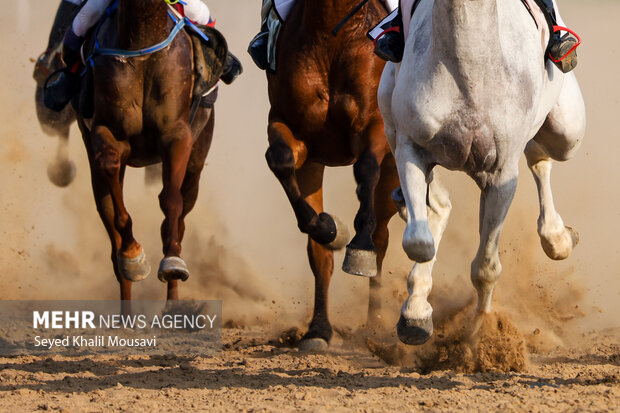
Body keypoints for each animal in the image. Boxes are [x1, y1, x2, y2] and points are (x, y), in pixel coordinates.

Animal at [73, 0, 223, 308]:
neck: (142, 40)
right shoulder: (107, 131)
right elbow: (110, 169)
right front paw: (133, 256)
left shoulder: (177, 134)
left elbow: (171, 201)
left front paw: (173, 261)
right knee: (110, 227)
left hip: (198, 155)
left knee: (182, 212)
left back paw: (172, 303)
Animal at [264, 0, 400, 350]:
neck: (332, 35)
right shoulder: (297, 135)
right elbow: (280, 160)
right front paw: (330, 228)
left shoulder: (375, 126)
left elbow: (365, 168)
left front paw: (359, 246)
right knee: (320, 257)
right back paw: (319, 329)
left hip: (393, 169)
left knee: (382, 236)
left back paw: (374, 323)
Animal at [378, 0, 588, 342]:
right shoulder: (410, 148)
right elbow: (419, 242)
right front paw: (416, 316)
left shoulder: (502, 175)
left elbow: (486, 268)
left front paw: (482, 331)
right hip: (391, 124)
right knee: (436, 206)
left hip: (567, 130)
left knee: (541, 156)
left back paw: (558, 238)